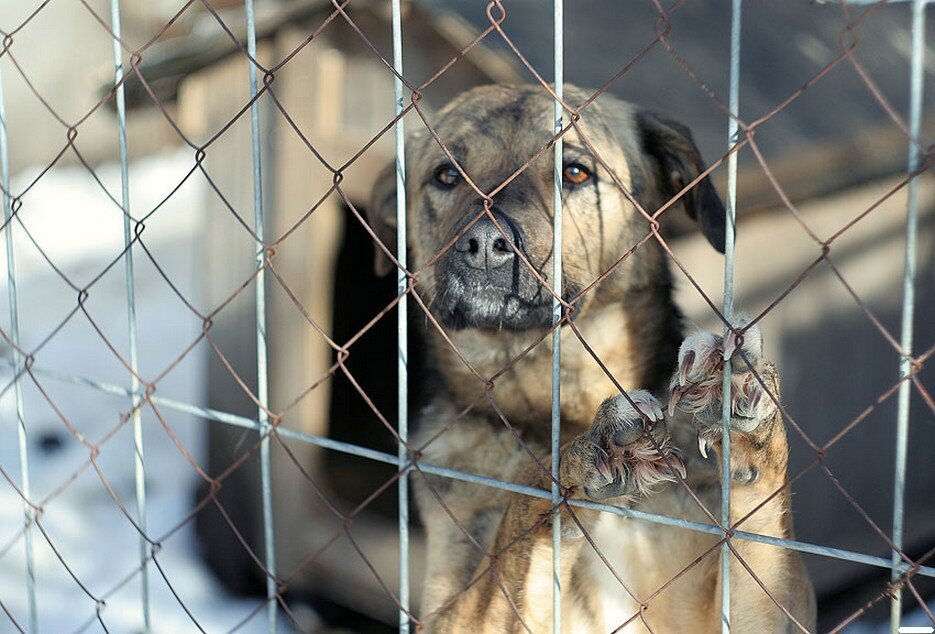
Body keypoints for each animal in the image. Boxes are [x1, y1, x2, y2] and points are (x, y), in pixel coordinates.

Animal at [370, 85, 816, 632]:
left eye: (575, 172)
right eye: (446, 175)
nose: (486, 246)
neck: (557, 401)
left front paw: (742, 411)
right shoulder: (450, 613)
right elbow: (518, 519)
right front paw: (583, 460)